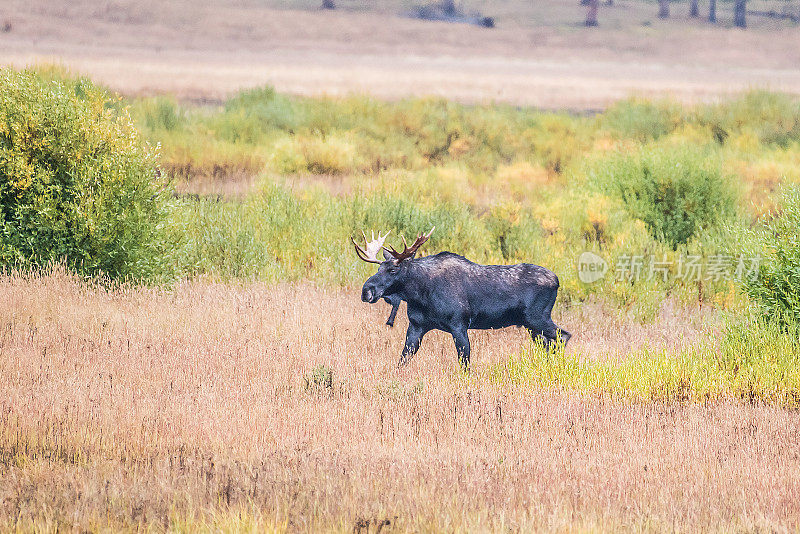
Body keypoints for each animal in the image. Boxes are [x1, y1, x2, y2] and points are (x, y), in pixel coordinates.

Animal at [354, 228, 572, 370]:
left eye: (393, 269)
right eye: (379, 268)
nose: (367, 290)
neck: (420, 294)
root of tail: (557, 280)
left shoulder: (459, 325)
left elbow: (464, 364)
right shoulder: (416, 326)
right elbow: (403, 359)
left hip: (538, 318)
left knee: (563, 336)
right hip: (531, 326)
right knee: (549, 343)